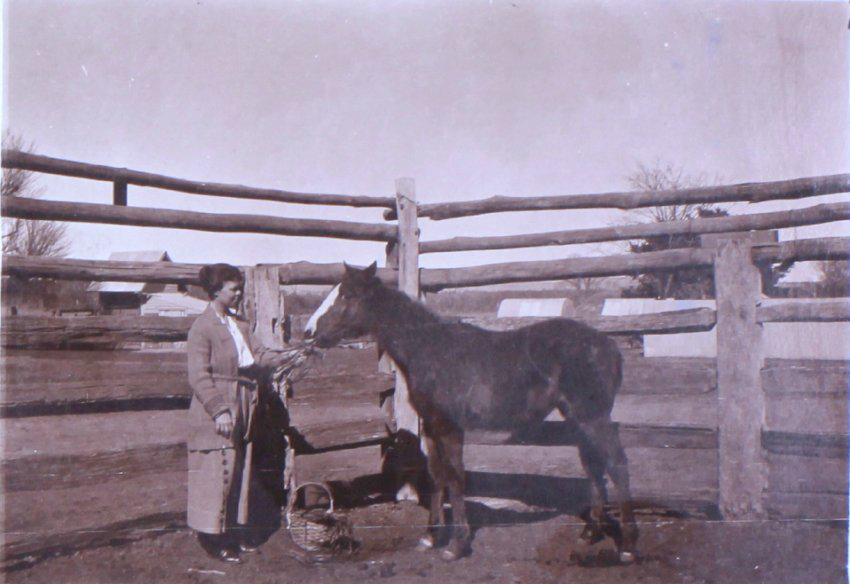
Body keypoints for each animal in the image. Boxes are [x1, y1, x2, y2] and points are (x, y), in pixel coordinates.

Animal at [305, 262, 638, 562]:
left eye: (348, 295)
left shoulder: (451, 428)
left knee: (618, 465)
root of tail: (609, 346)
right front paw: (430, 538)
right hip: (578, 419)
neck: (430, 350)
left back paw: (628, 547)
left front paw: (457, 545)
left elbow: (456, 478)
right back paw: (590, 534)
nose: (309, 332)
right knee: (594, 467)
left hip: (593, 418)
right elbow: (437, 475)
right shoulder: (431, 427)